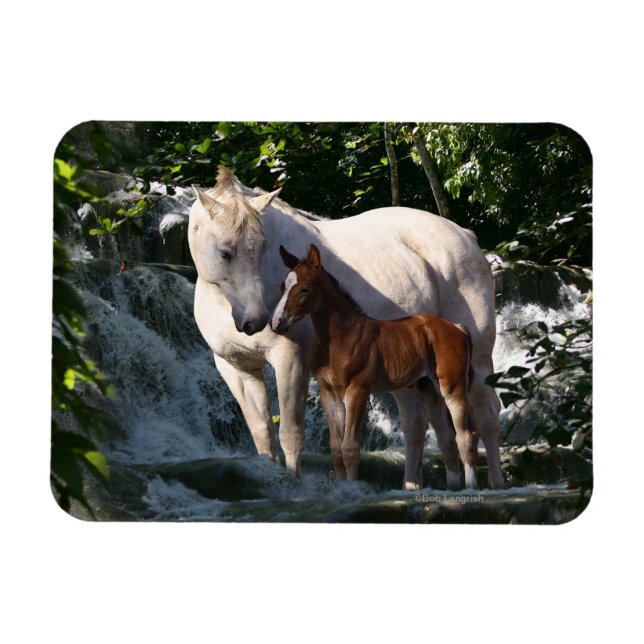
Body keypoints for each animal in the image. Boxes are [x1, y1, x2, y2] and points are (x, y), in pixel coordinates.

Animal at [271, 244, 479, 485]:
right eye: (282, 286)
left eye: (305, 289)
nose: (277, 323)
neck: (340, 337)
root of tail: (457, 327)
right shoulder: (329, 393)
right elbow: (336, 449)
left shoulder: (357, 390)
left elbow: (350, 448)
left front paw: (353, 487)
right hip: (427, 389)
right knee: (447, 439)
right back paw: (453, 488)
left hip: (453, 388)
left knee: (466, 437)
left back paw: (470, 487)